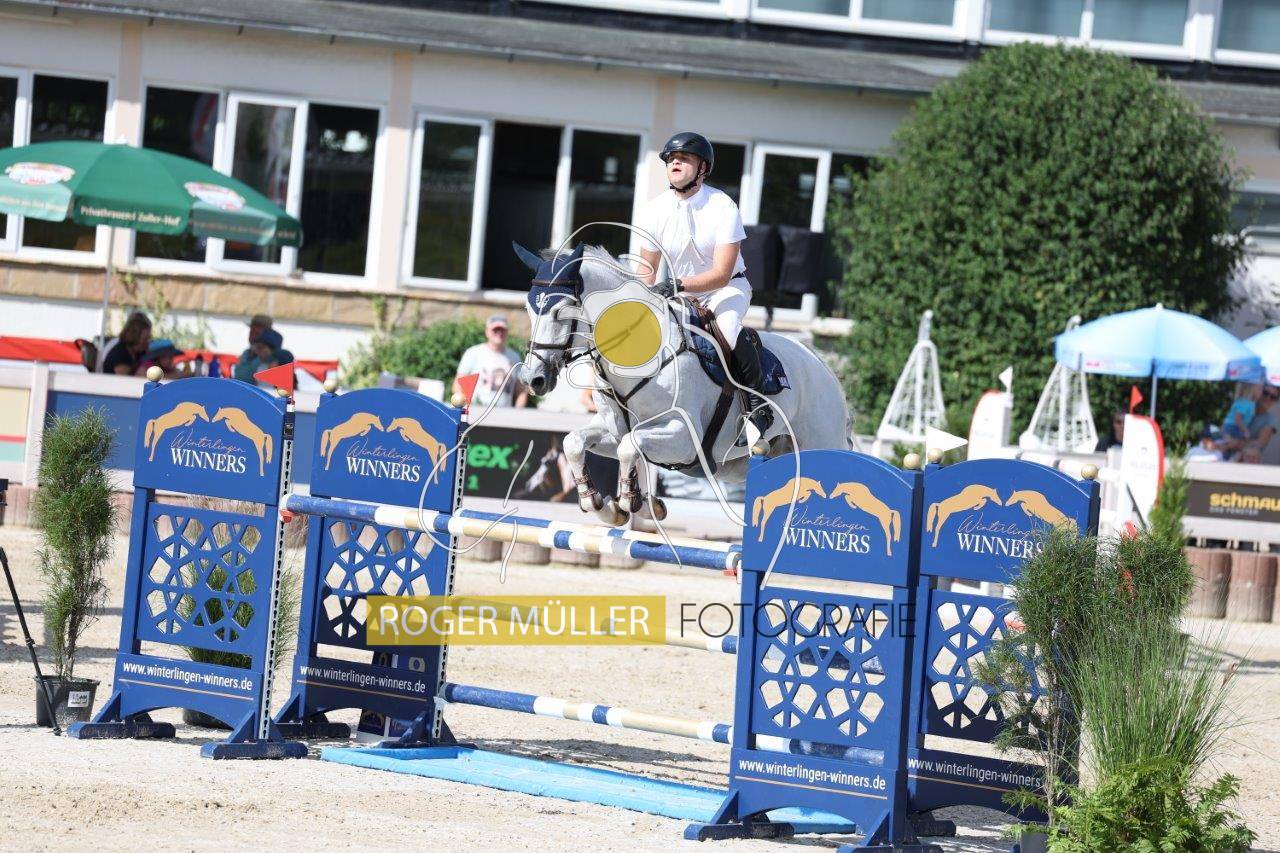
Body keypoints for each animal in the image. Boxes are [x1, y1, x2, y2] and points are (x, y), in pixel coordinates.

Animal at [513, 242, 851, 525]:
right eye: (529, 309)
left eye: (560, 312)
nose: (533, 379)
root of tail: (821, 365)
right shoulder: (613, 430)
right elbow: (576, 443)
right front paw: (607, 507)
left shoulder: (684, 438)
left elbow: (628, 447)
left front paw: (632, 502)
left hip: (818, 442)